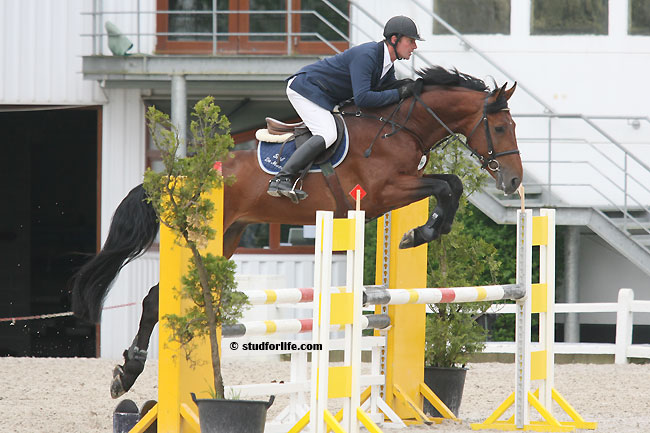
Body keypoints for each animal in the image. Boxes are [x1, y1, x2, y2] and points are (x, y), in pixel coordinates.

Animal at [69, 66, 522, 398]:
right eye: (501, 128)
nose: (514, 181)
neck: (401, 127)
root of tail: (181, 174)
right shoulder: (384, 192)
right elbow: (448, 186)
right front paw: (421, 232)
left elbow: (452, 185)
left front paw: (422, 231)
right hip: (204, 235)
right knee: (155, 299)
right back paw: (130, 373)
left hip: (227, 238)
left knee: (154, 298)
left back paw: (129, 372)